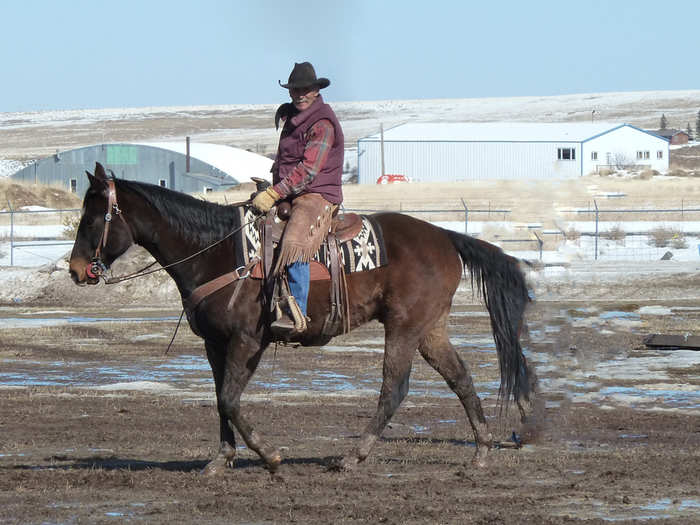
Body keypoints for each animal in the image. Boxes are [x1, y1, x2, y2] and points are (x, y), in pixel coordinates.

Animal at [69, 164, 532, 474]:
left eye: (92, 218)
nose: (76, 271)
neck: (215, 250)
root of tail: (445, 237)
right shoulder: (214, 343)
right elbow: (220, 399)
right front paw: (221, 460)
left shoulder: (248, 340)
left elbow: (230, 399)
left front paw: (271, 456)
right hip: (429, 329)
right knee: (460, 378)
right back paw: (481, 452)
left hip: (404, 327)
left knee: (393, 388)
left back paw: (353, 457)